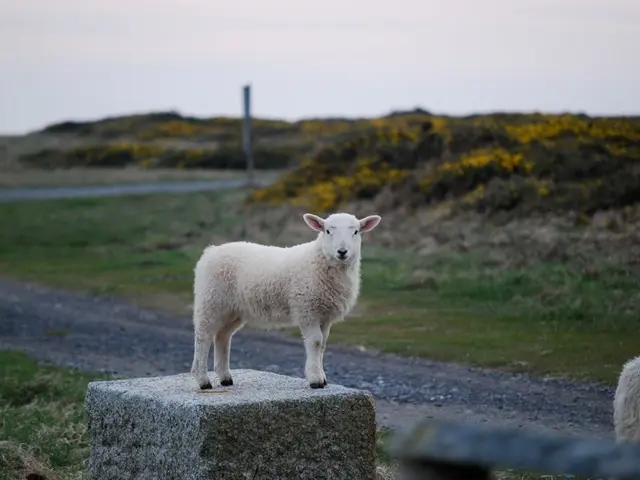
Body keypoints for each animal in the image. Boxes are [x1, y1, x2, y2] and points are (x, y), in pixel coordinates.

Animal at [190, 211, 382, 389]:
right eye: (328, 231)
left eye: (356, 231)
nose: (342, 252)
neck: (318, 259)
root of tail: (211, 250)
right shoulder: (307, 309)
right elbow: (315, 342)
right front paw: (315, 379)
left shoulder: (325, 315)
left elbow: (323, 344)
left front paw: (322, 377)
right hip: (211, 300)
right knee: (203, 337)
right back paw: (203, 380)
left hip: (233, 309)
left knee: (222, 336)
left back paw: (225, 377)